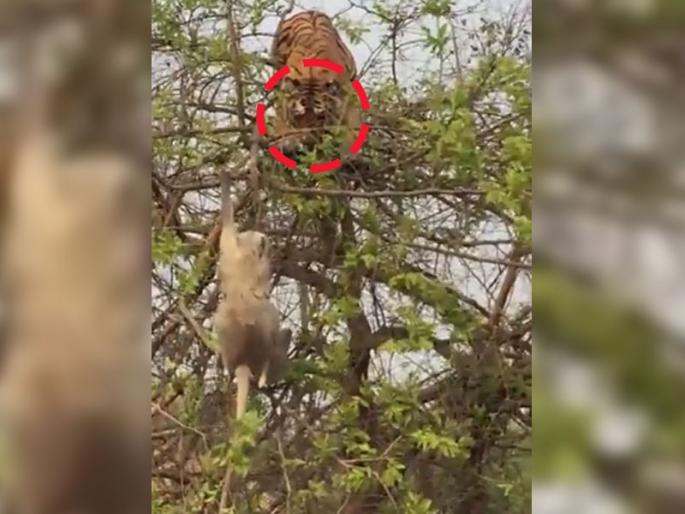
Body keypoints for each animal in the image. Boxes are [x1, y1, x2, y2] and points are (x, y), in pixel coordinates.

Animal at [213, 173, 291, 419]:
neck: (246, 253)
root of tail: (243, 363)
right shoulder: (259, 264)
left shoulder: (230, 248)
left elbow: (227, 223)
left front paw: (227, 178)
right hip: (269, 354)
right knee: (283, 335)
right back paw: (267, 378)